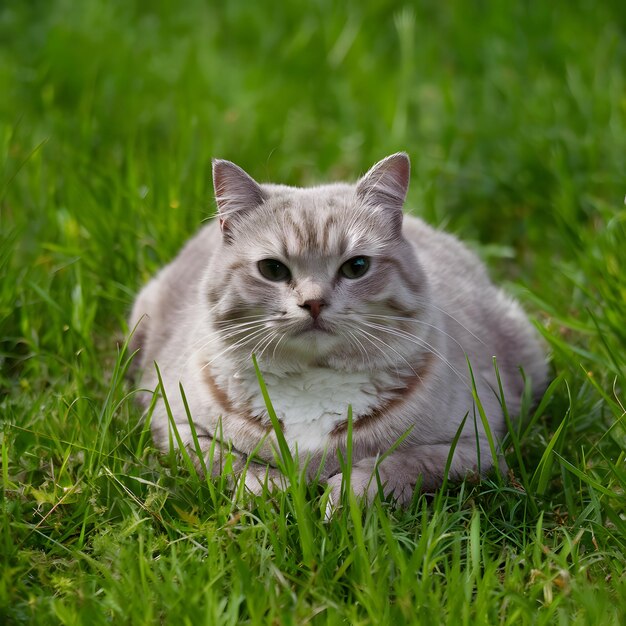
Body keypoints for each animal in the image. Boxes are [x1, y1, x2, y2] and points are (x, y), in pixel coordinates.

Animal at [128, 154, 544, 504]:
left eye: (356, 267)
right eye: (272, 269)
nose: (313, 302)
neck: (313, 382)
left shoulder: (474, 447)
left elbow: (392, 466)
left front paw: (344, 500)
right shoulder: (175, 428)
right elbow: (232, 464)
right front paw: (277, 493)